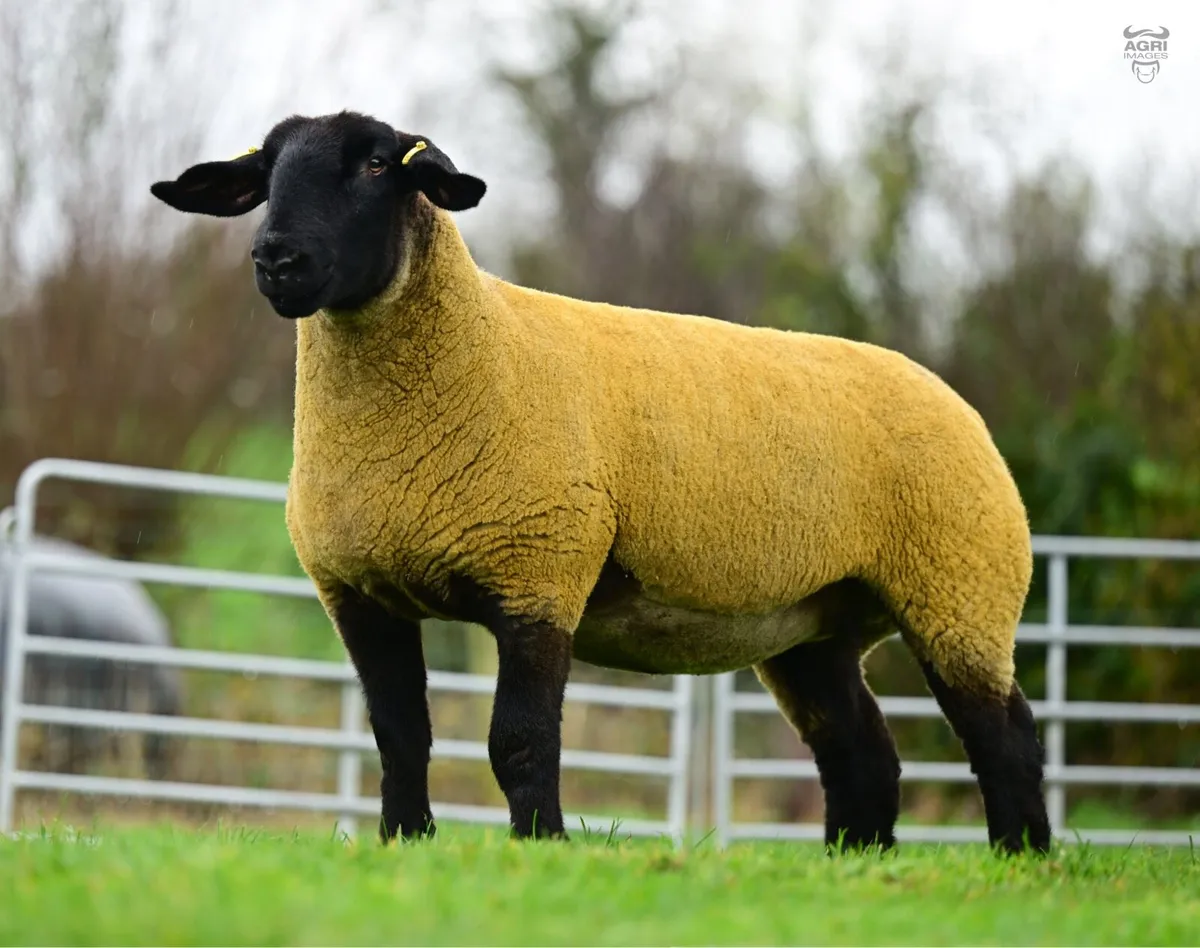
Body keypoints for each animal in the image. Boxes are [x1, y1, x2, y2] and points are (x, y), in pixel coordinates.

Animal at [149, 110, 1050, 855]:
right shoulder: (361, 594)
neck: (477, 347)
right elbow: (401, 738)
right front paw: (403, 844)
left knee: (1006, 739)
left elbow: (519, 739)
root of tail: (948, 396)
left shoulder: (539, 569)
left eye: (376, 164)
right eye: (267, 171)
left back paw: (1022, 861)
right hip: (818, 624)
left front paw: (541, 846)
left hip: (961, 588)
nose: (277, 260)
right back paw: (854, 867)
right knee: (862, 753)